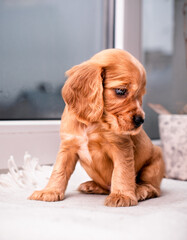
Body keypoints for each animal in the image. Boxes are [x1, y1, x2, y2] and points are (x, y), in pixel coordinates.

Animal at [28, 48, 164, 206]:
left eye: (140, 95)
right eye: (121, 91)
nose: (140, 120)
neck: (92, 124)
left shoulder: (121, 147)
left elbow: (122, 172)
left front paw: (122, 195)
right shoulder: (68, 146)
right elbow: (59, 169)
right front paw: (50, 191)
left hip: (154, 163)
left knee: (154, 189)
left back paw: (140, 190)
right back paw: (91, 185)